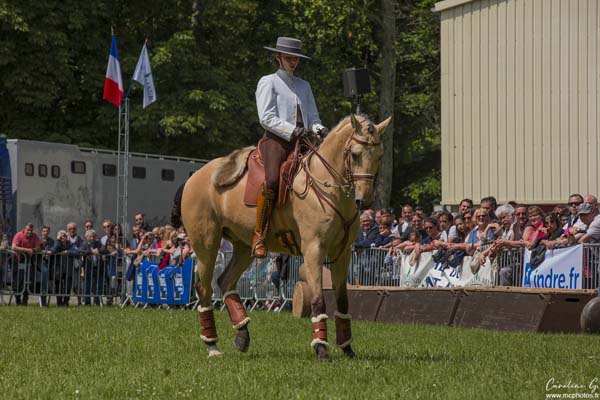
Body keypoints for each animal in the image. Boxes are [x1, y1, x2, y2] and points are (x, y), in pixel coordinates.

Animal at [178, 114, 391, 360]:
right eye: (355, 154)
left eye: (380, 156)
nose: (363, 201)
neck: (328, 187)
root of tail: (196, 177)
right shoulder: (314, 249)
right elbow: (318, 300)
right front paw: (321, 347)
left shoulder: (342, 252)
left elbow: (343, 301)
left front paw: (347, 348)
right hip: (207, 246)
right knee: (204, 289)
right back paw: (212, 345)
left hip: (244, 247)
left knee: (226, 281)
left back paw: (242, 335)